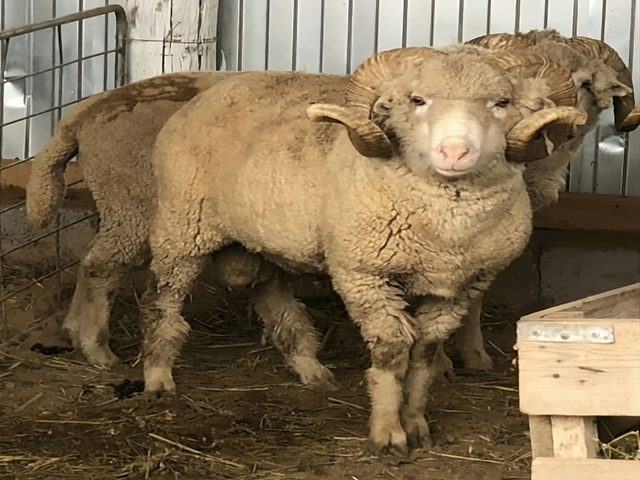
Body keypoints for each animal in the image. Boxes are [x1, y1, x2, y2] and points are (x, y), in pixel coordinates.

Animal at [139, 46, 587, 455]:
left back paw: (311, 368)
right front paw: (388, 432)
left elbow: (424, 354)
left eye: (502, 102)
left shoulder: (458, 287)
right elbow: (391, 352)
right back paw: (158, 377)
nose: (455, 152)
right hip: (182, 228)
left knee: (272, 296)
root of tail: (213, 89)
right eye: (417, 100)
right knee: (162, 302)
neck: (446, 230)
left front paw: (416, 423)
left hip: (266, 239)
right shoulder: (364, 275)